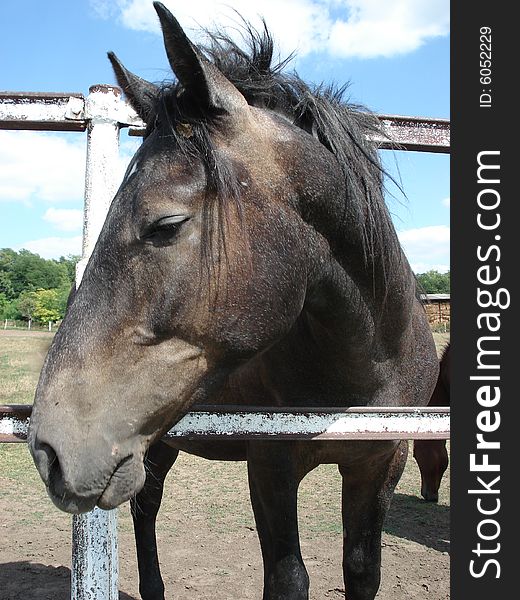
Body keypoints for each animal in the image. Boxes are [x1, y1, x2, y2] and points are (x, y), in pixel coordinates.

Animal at [25, 2, 438, 596]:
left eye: (166, 224)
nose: (49, 450)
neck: (365, 369)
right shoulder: (268, 464)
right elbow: (288, 577)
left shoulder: (382, 461)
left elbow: (362, 569)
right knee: (148, 504)